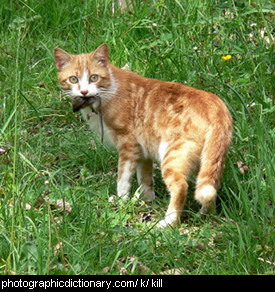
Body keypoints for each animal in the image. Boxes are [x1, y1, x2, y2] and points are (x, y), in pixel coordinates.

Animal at [53, 43, 233, 227]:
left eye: (93, 77)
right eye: (73, 79)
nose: (83, 91)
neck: (109, 90)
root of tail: (216, 106)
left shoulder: (128, 145)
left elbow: (123, 179)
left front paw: (121, 202)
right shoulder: (143, 150)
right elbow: (145, 179)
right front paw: (146, 201)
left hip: (173, 155)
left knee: (181, 187)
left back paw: (168, 222)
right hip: (207, 161)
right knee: (210, 188)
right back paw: (205, 215)